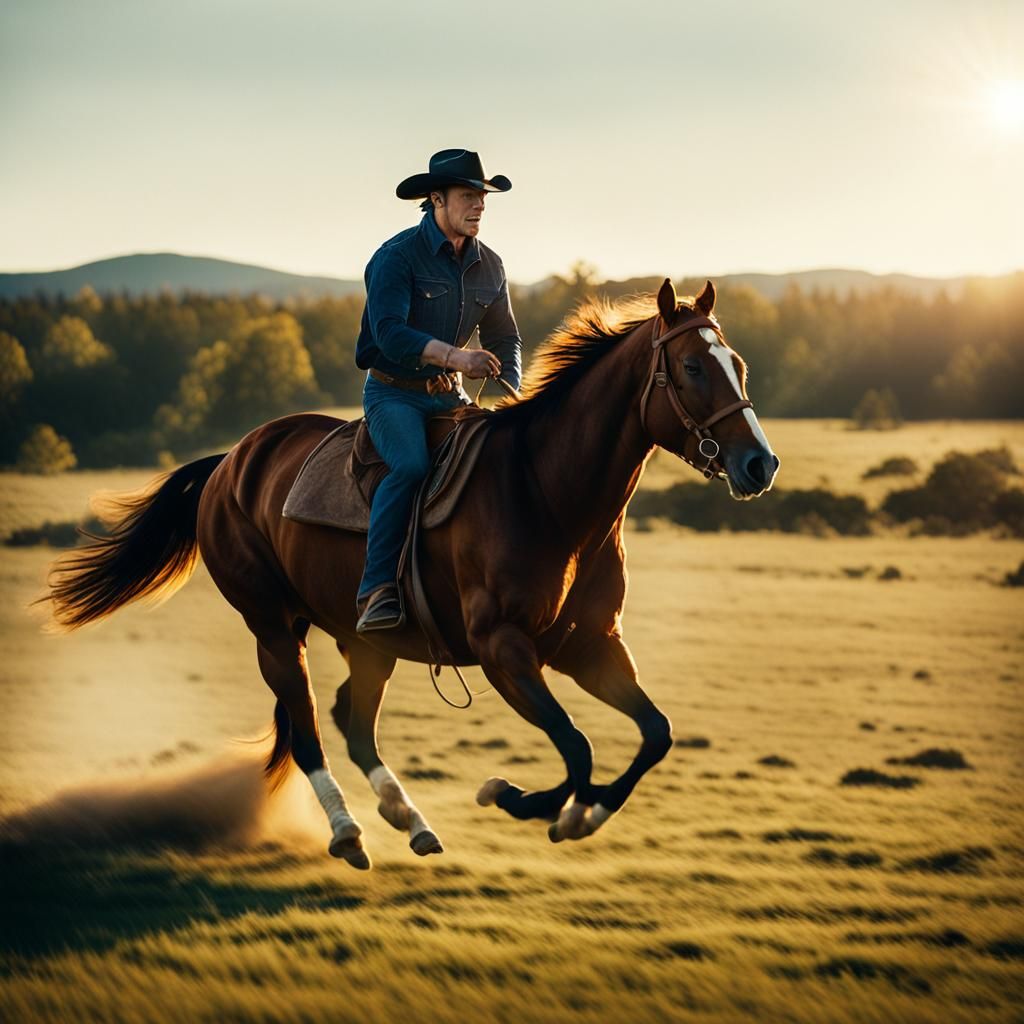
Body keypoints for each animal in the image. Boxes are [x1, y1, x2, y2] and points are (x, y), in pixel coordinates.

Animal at [46, 278, 779, 870]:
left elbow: (653, 734)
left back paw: (411, 819)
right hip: (274, 630)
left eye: (738, 365)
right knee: (309, 731)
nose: (759, 464)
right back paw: (348, 833)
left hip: (368, 642)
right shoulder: (504, 651)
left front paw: (580, 815)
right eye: (692, 366)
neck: (546, 491)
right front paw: (514, 796)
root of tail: (231, 462)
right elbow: (576, 747)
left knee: (351, 721)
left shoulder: (590, 646)